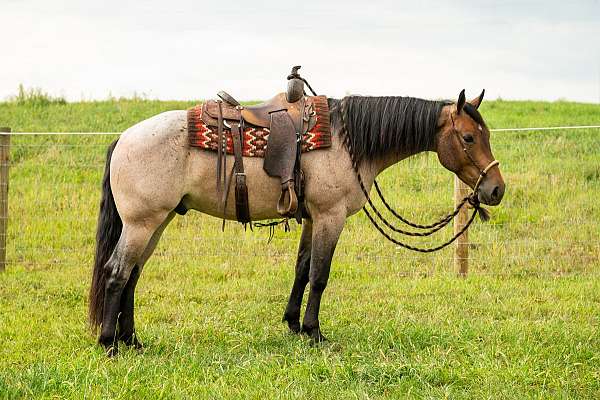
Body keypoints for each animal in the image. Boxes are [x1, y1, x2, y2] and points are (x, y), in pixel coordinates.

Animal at [86, 89, 504, 354]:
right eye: (469, 137)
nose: (496, 189)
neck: (346, 140)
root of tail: (123, 138)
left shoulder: (312, 218)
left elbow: (302, 269)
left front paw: (291, 323)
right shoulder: (330, 216)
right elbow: (319, 275)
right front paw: (314, 332)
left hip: (157, 222)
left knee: (133, 275)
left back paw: (132, 340)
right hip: (142, 223)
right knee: (117, 273)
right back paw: (109, 344)